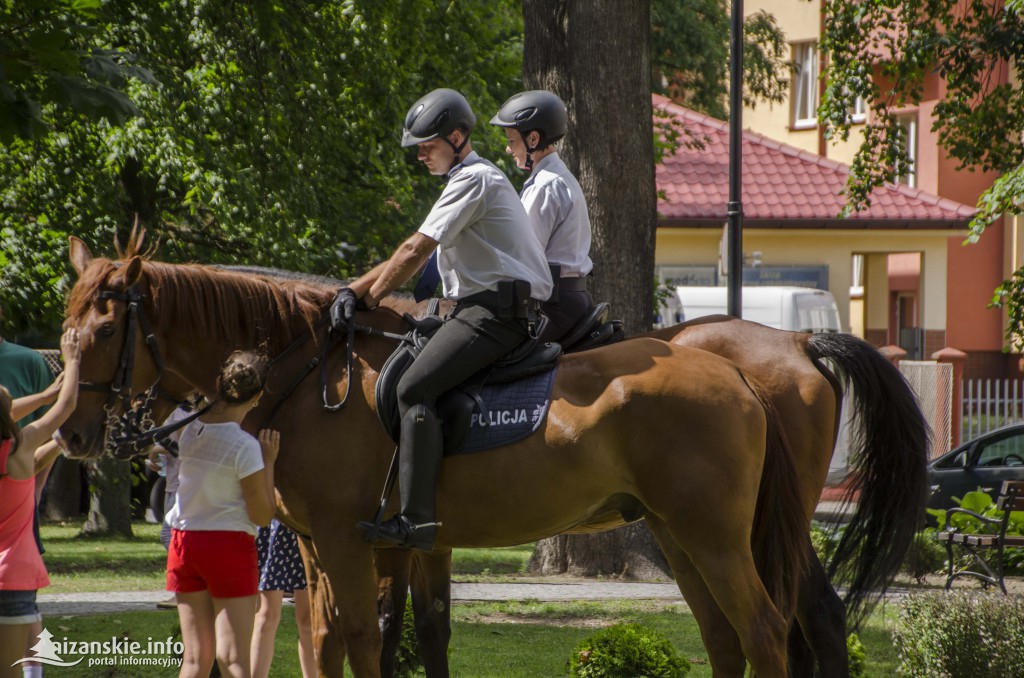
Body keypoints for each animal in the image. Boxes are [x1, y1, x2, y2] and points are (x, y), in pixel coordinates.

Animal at [59, 236, 811, 675]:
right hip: (676, 533)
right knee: (724, 638)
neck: (305, 373)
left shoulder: (347, 541)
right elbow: (331, 640)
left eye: (105, 328)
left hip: (713, 538)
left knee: (764, 631)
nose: (72, 436)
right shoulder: (315, 545)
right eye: (68, 327)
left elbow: (364, 637)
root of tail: (736, 371)